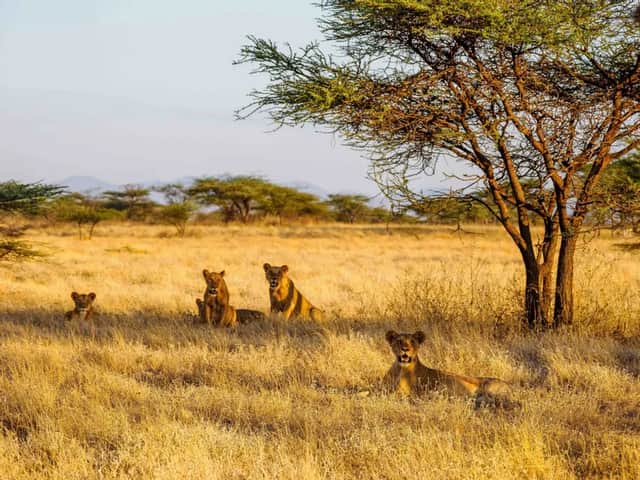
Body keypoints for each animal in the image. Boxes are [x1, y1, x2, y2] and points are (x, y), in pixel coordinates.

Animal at [383, 330, 514, 407]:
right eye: (399, 341)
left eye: (412, 341)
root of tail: (508, 384)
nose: (405, 349)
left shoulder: (407, 393)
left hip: (490, 389)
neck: (399, 369)